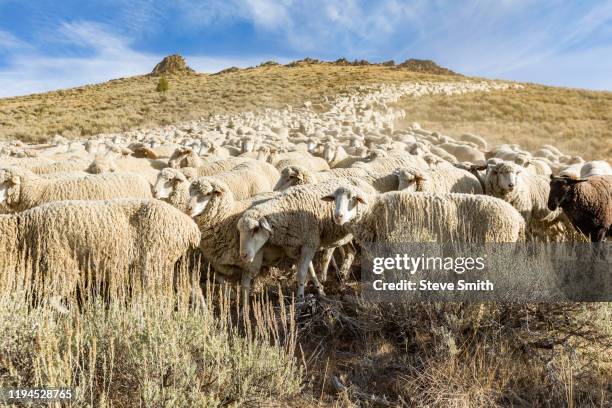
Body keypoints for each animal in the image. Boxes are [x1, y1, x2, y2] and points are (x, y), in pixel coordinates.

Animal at [237, 180, 376, 298]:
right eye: (240, 231)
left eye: (255, 229)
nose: (243, 255)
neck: (287, 211)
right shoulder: (299, 247)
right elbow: (309, 269)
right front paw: (319, 289)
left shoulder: (309, 243)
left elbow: (302, 273)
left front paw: (300, 296)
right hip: (345, 235)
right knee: (352, 251)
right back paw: (343, 275)